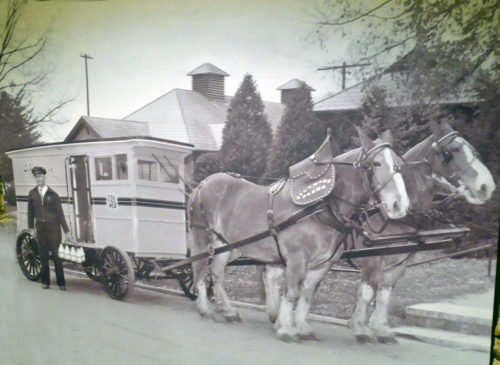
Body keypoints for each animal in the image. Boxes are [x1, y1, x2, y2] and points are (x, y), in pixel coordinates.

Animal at [186, 129, 408, 342]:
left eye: (399, 165)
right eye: (376, 163)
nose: (400, 204)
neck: (320, 209)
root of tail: (203, 183)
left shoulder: (322, 265)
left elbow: (306, 294)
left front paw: (301, 326)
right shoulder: (296, 259)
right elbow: (292, 292)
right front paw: (286, 328)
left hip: (226, 243)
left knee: (216, 272)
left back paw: (229, 310)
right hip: (201, 236)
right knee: (199, 268)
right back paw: (205, 308)